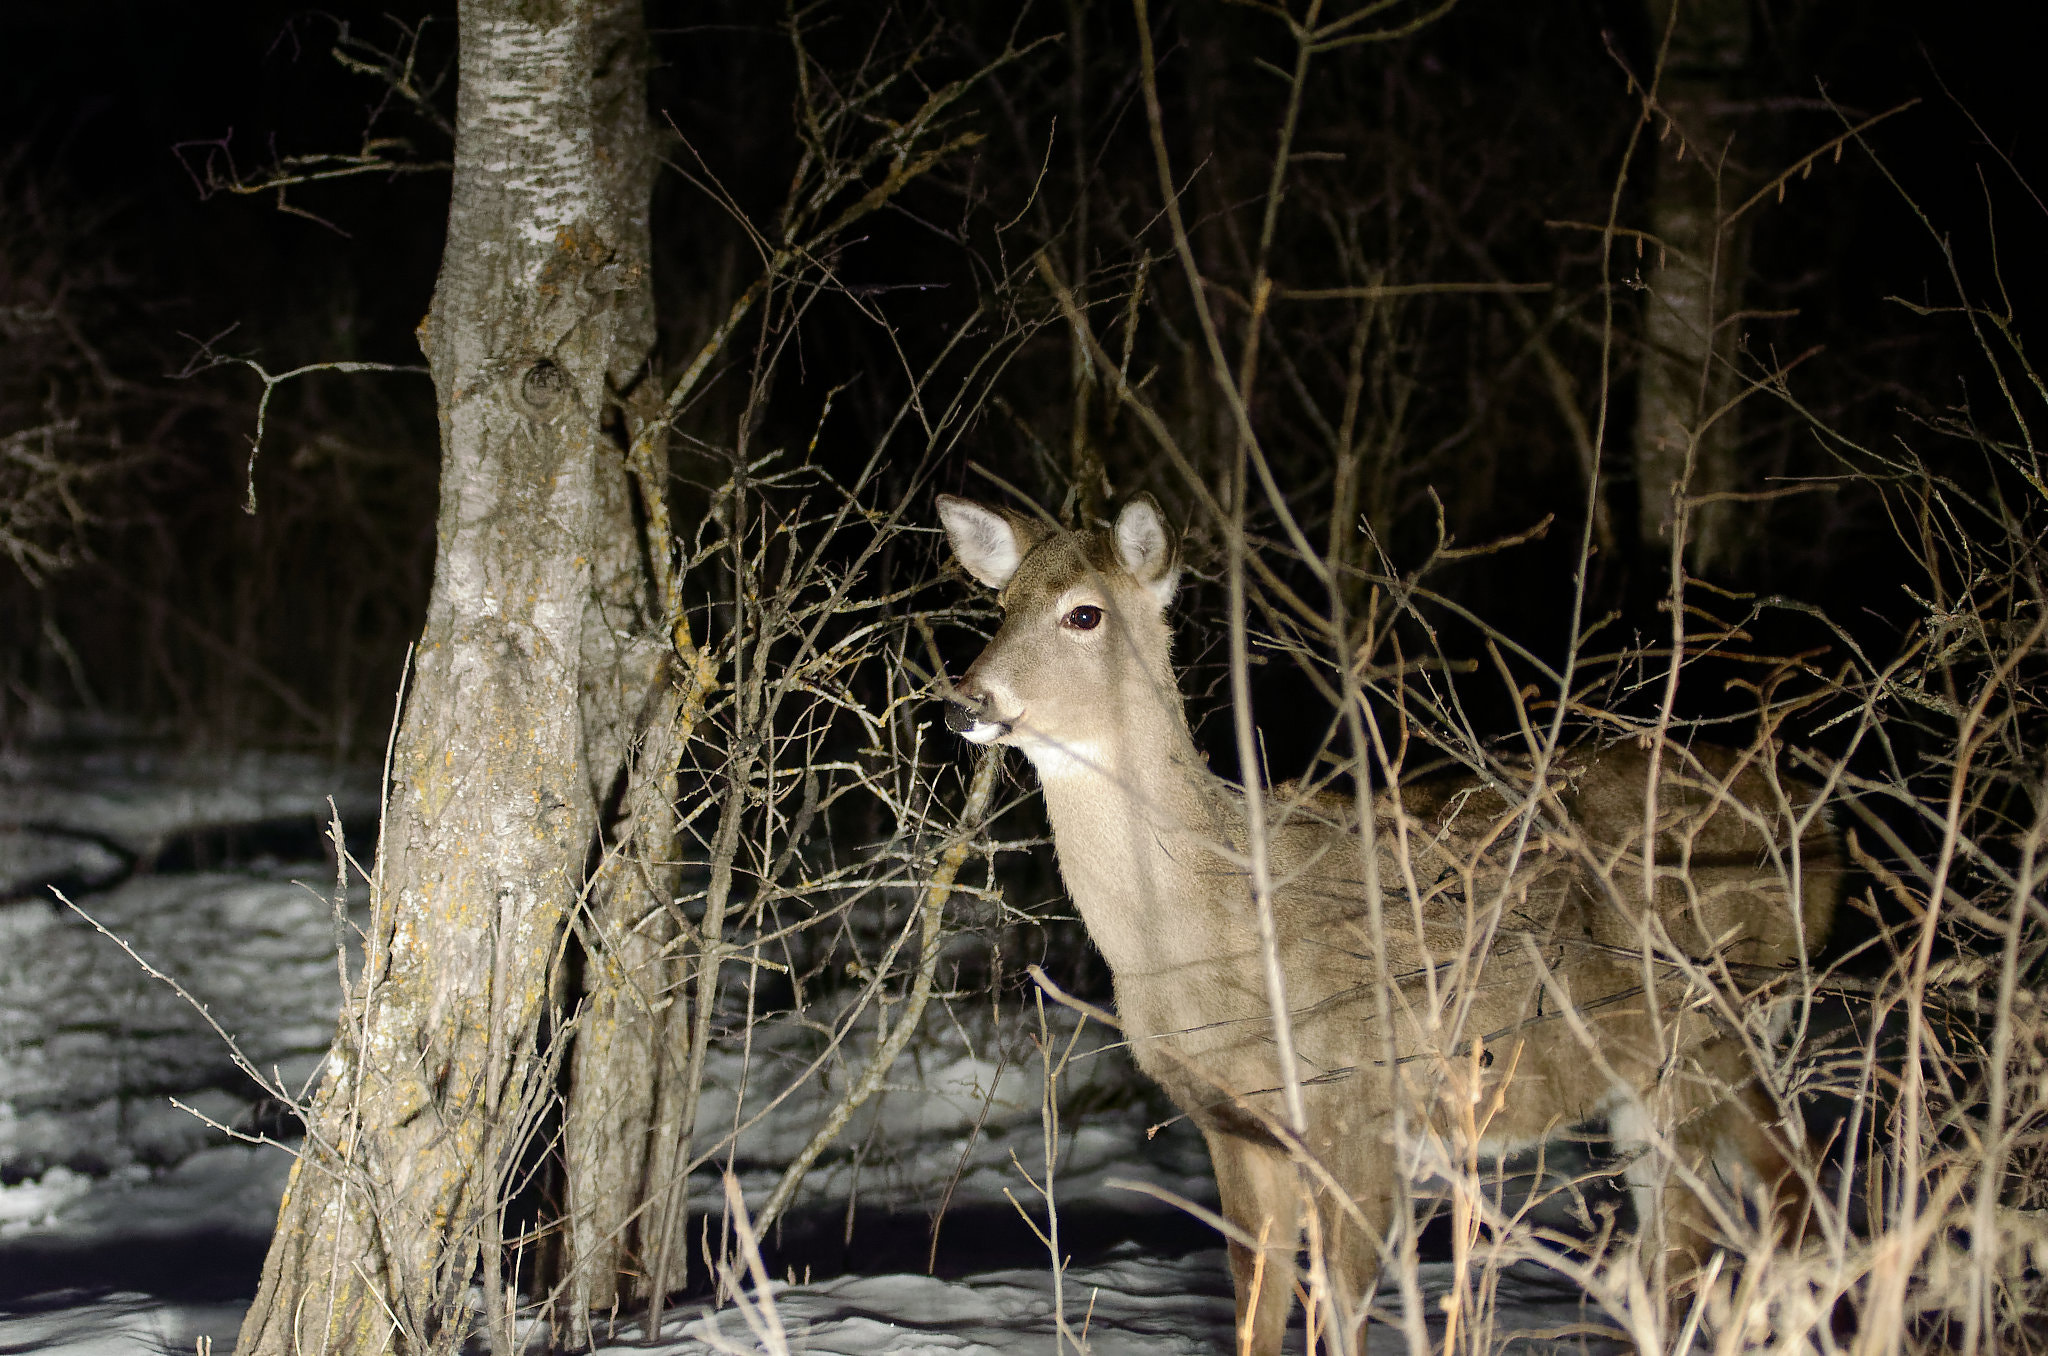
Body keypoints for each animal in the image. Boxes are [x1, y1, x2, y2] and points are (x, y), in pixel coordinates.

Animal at [937, 493, 1851, 1351]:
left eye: (1084, 613)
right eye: (1001, 604)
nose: (963, 702)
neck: (1210, 935)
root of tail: (1819, 823)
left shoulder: (1362, 1107)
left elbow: (1343, 1315)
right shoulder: (1235, 1129)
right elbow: (1255, 1316)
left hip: (1715, 1032)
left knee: (1774, 1203)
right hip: (1652, 1073)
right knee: (1690, 1237)